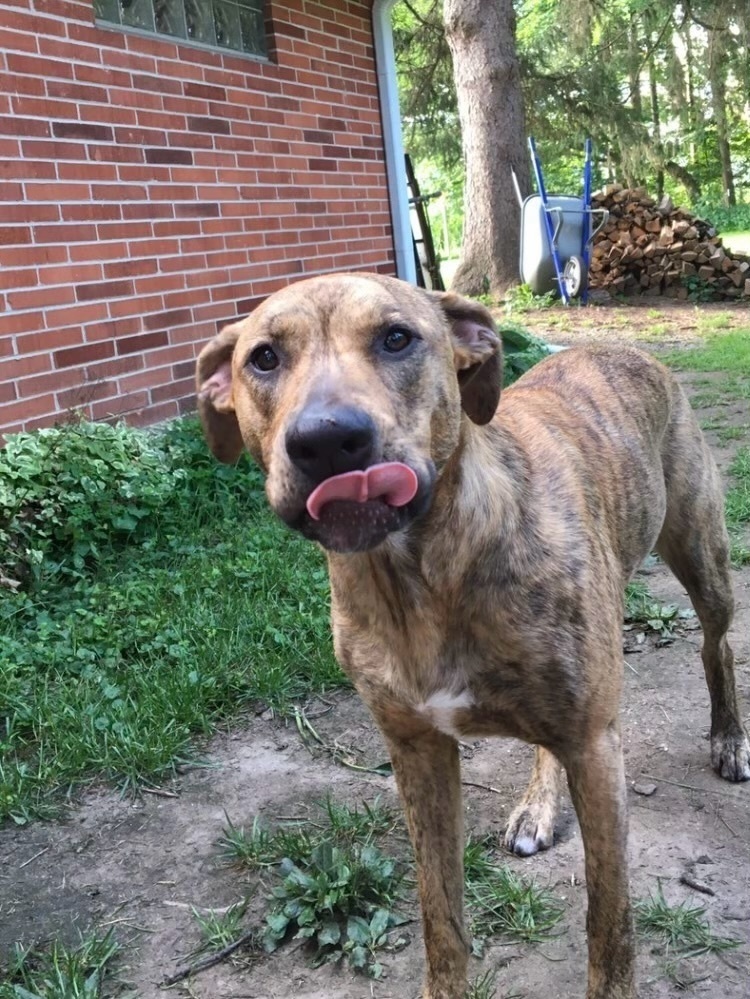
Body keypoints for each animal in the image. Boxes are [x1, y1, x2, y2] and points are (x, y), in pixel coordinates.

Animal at [195, 274, 750, 999]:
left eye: (397, 337)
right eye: (263, 358)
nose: (327, 440)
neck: (422, 574)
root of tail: (621, 346)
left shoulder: (596, 750)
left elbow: (610, 927)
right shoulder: (417, 751)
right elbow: (442, 919)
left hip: (700, 555)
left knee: (717, 643)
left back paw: (729, 737)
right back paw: (540, 804)